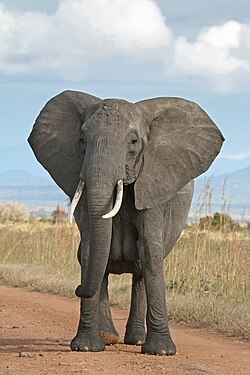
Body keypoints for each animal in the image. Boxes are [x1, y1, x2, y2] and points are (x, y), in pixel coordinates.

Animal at [28, 90, 224, 356]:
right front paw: (86, 347)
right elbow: (89, 249)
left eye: (133, 142)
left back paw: (136, 341)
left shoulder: (153, 185)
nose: (77, 288)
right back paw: (109, 337)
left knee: (141, 269)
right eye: (82, 140)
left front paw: (161, 352)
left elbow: (150, 251)